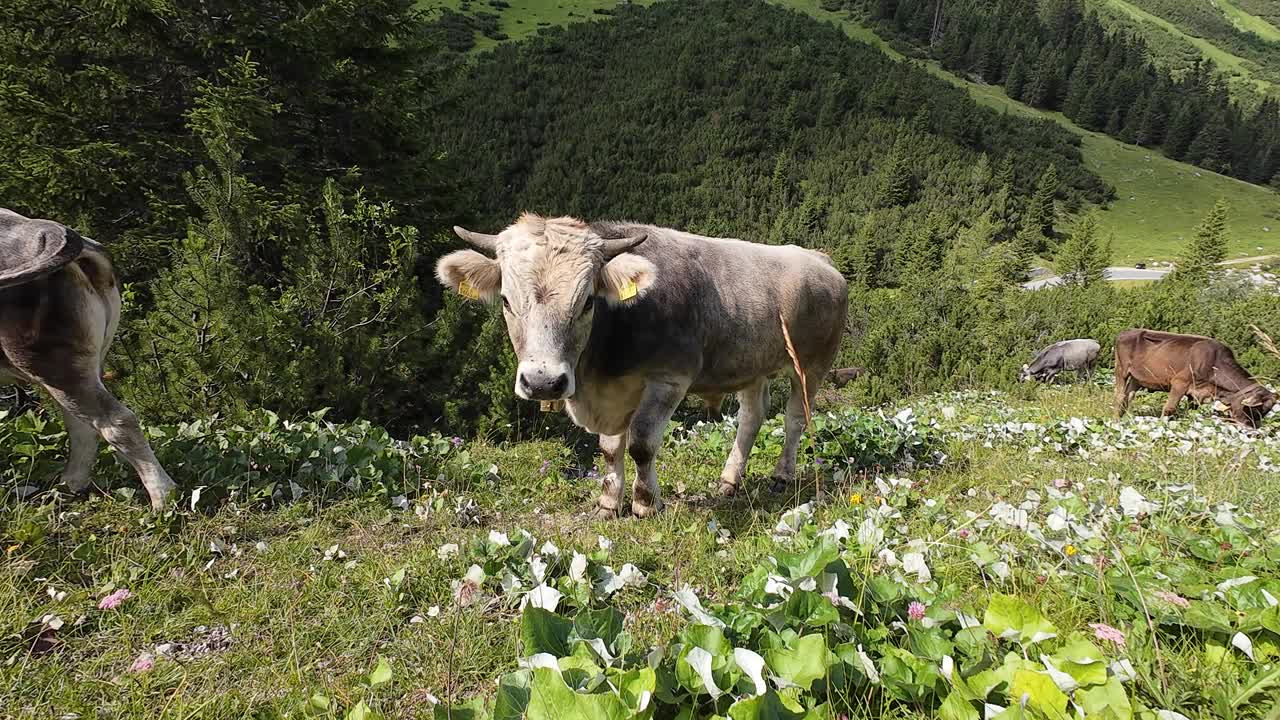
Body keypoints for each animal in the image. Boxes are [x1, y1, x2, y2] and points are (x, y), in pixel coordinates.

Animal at [440, 212, 849, 515]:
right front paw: (609, 503)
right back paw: (729, 481)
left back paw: (781, 475)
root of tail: (819, 259)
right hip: (751, 363)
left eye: (587, 301)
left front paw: (645, 503)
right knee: (752, 415)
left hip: (812, 364)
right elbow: (609, 448)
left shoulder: (669, 379)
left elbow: (641, 443)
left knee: (796, 416)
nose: (543, 382)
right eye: (506, 300)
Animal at [1116, 330, 1274, 427]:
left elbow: (1192, 412)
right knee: (1119, 396)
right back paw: (1115, 420)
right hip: (1121, 370)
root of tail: (1126, 332)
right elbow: (1169, 409)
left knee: (1128, 396)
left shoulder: (1196, 394)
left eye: (1264, 413)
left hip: (1136, 379)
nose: (1252, 432)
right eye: (1255, 410)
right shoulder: (1179, 383)